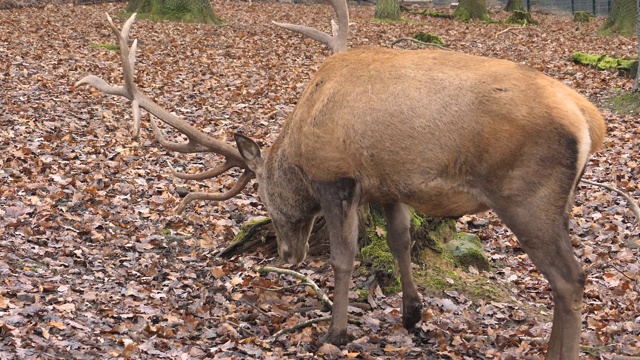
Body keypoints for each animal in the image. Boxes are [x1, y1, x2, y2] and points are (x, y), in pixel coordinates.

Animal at [75, 1, 604, 358]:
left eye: (264, 198)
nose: (287, 255)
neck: (301, 135)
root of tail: (589, 121)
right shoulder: (390, 184)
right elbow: (399, 240)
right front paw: (412, 314)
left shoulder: (337, 177)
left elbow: (344, 256)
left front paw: (334, 332)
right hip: (553, 201)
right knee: (566, 280)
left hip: (526, 196)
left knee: (571, 278)